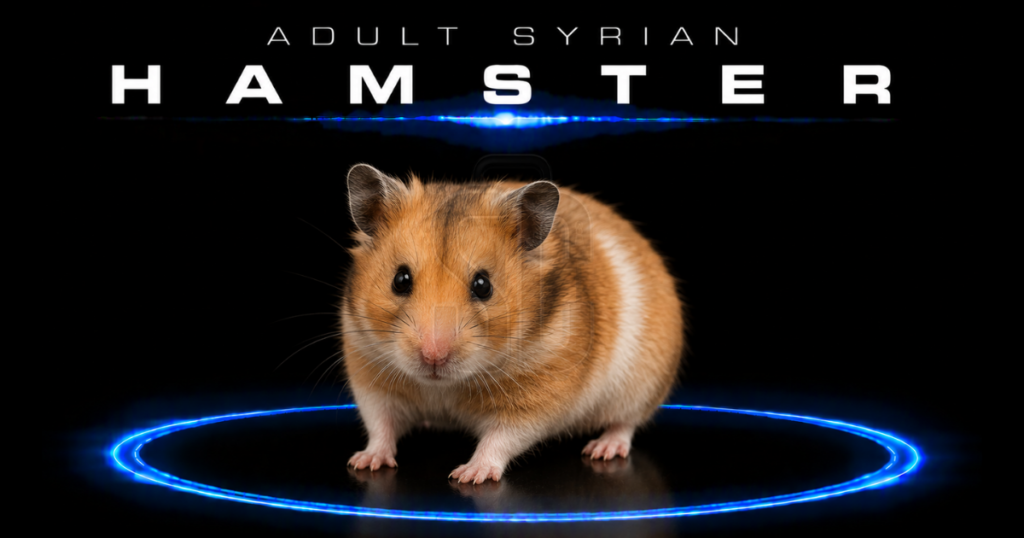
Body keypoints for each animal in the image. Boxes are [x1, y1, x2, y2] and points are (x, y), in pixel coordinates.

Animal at [340, 163, 685, 484]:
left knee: (626, 423)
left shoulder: (537, 397)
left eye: (483, 285)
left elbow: (502, 438)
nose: (433, 357)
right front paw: (363, 462)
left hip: (642, 386)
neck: (444, 387)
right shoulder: (368, 371)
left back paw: (603, 449)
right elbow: (380, 424)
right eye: (400, 280)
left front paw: (468, 475)